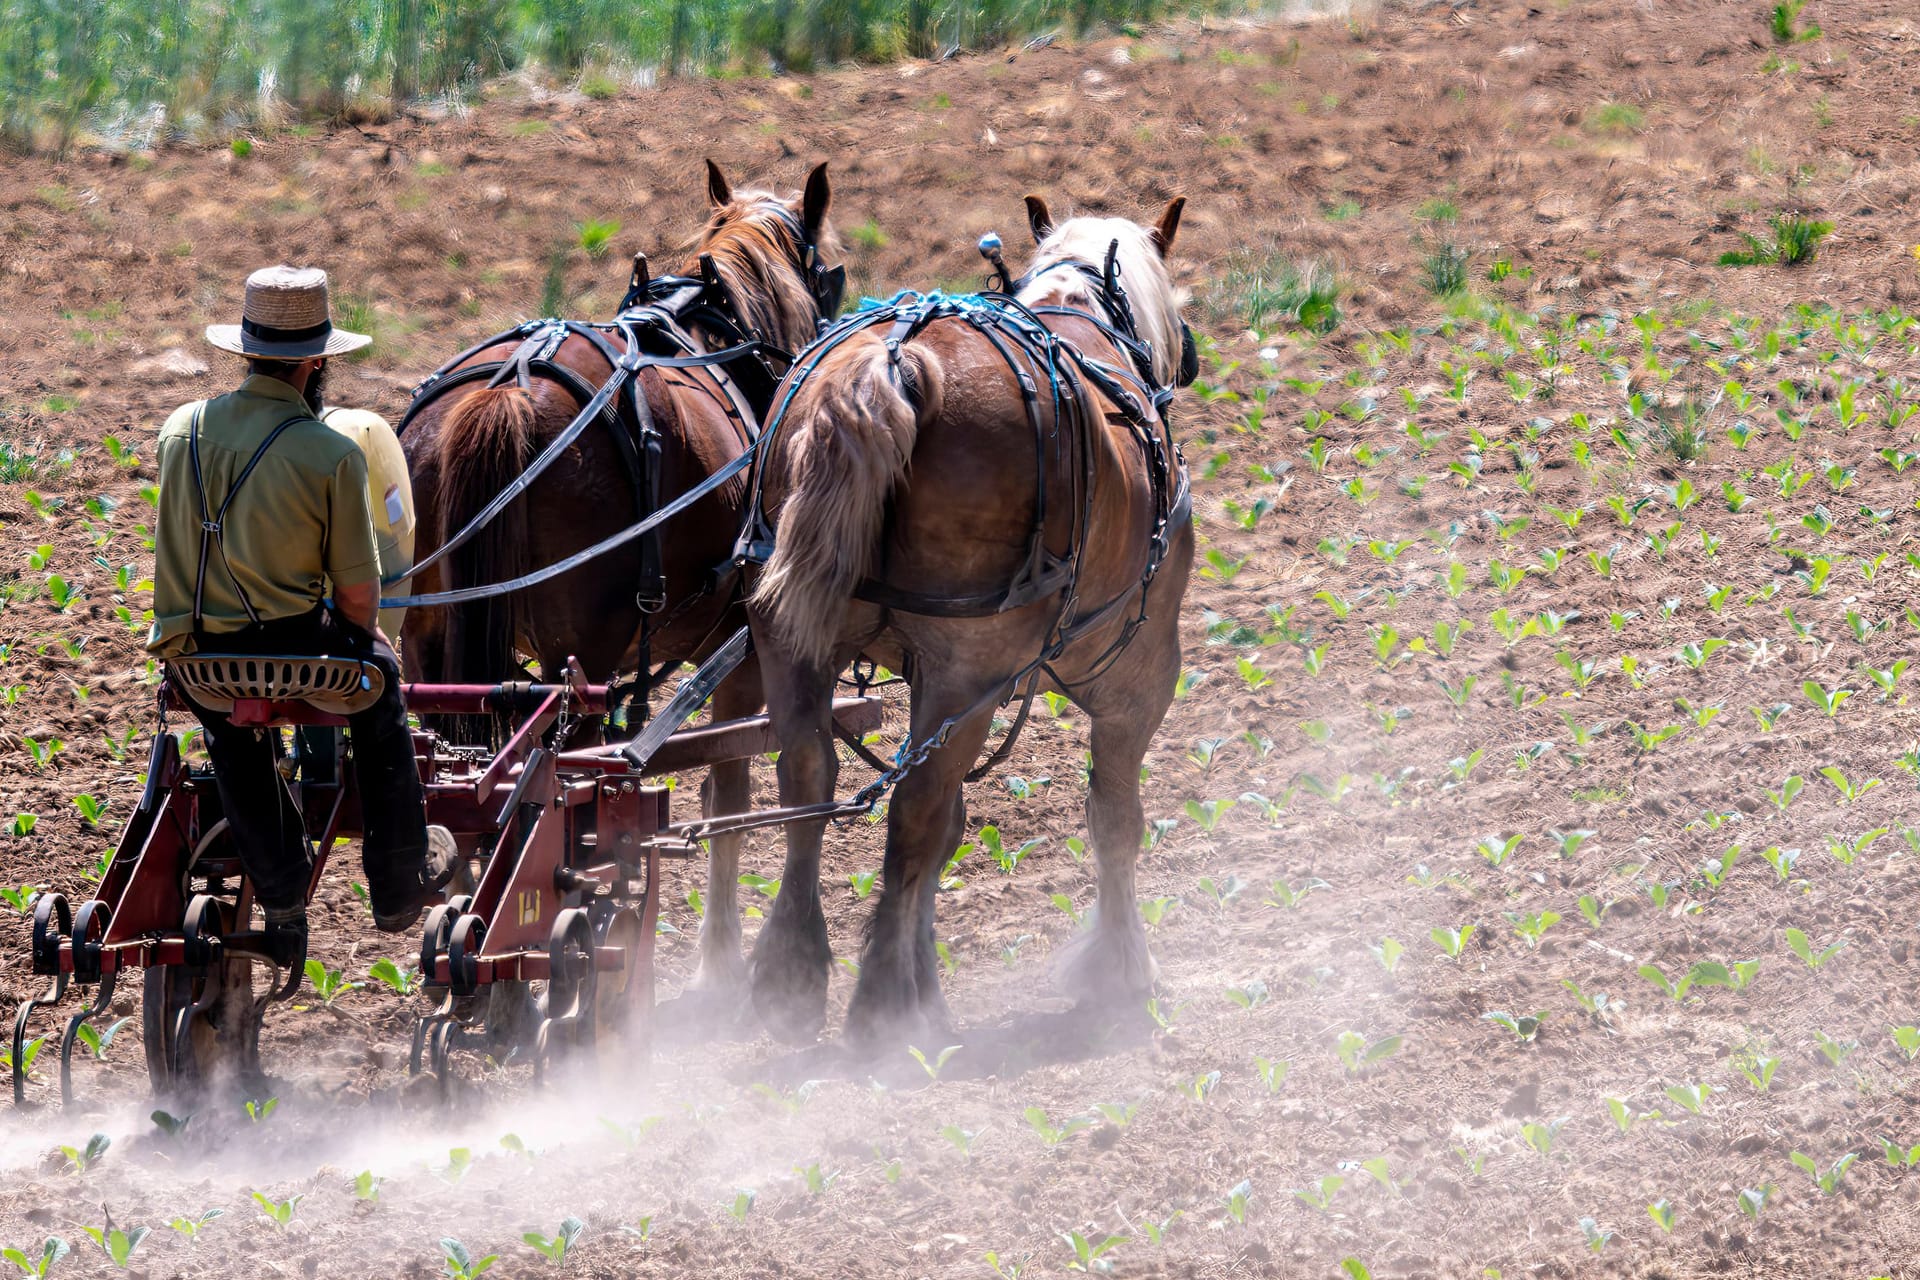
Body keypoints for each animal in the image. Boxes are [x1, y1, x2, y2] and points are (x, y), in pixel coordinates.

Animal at [403, 163, 840, 997]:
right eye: (829, 271)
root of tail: (505, 390)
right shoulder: (741, 643)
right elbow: (727, 788)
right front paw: (716, 962)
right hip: (582, 662)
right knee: (556, 804)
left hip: (431, 641)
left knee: (460, 795)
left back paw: (466, 945)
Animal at [741, 195, 1190, 1043]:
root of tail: (894, 363)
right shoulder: (1138, 674)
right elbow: (1114, 817)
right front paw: (1120, 968)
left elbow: (949, 829)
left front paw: (928, 981)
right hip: (968, 671)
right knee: (910, 813)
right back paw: (882, 1007)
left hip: (789, 641)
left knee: (807, 784)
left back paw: (793, 974)